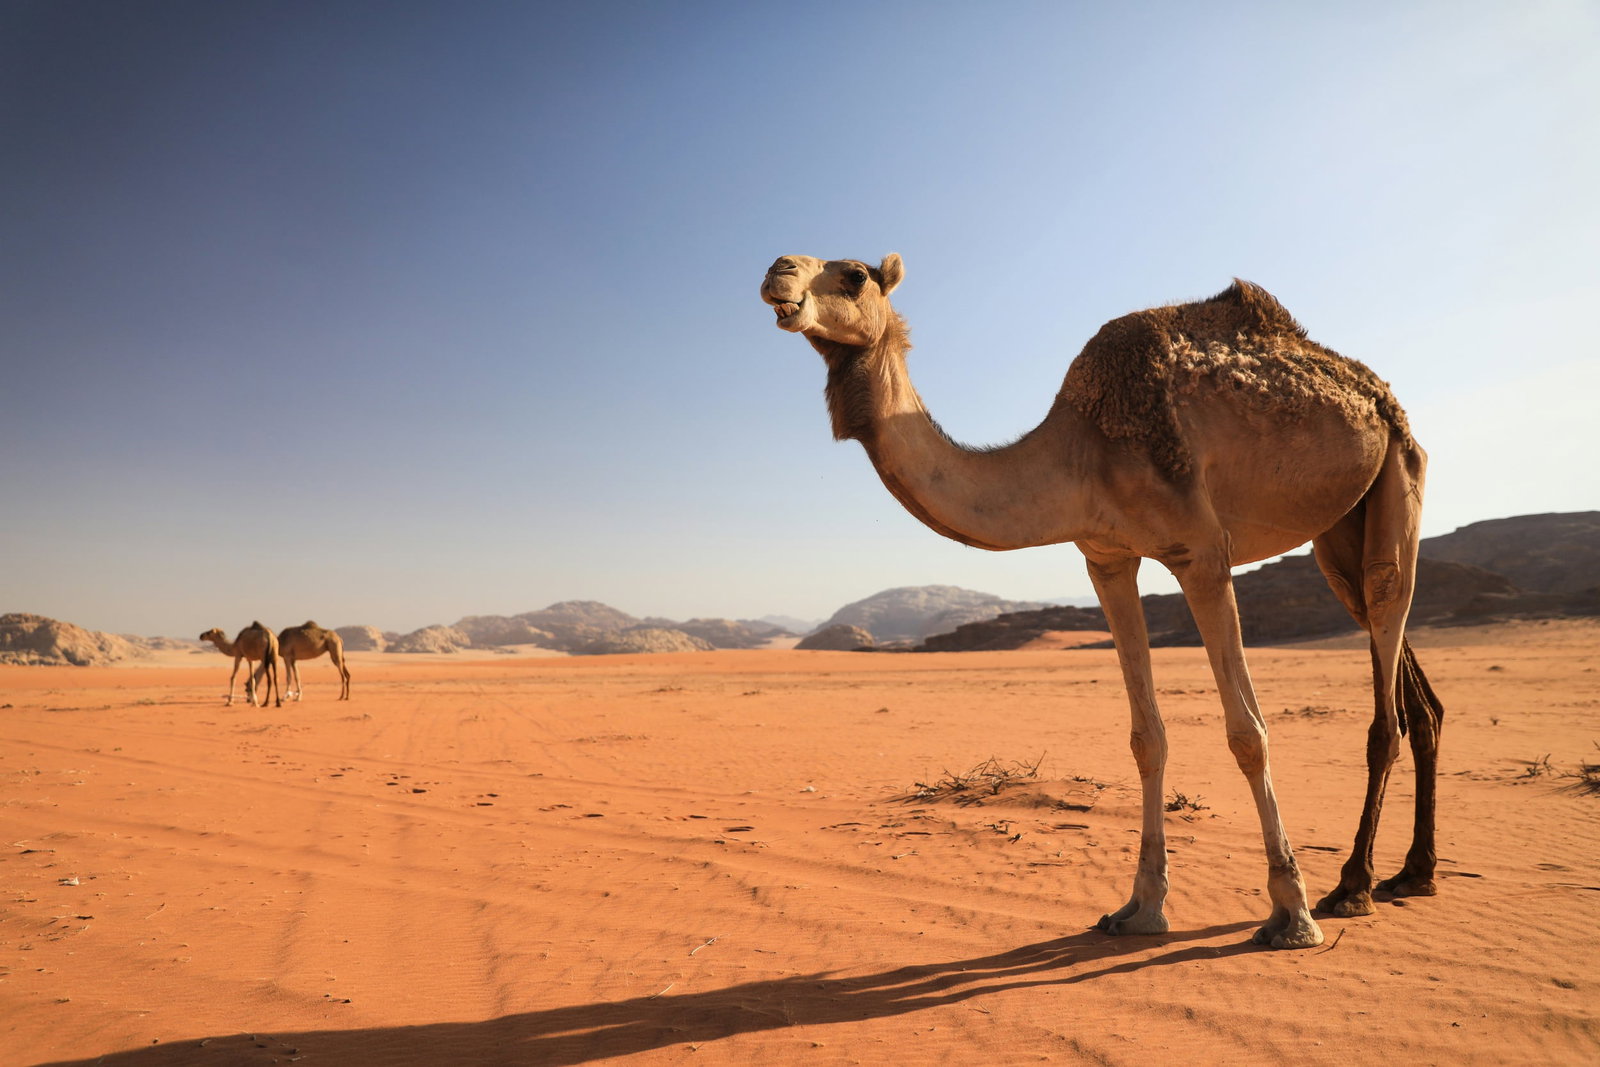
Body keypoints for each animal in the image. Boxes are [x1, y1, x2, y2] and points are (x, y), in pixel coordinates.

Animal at [761, 253, 1443, 949]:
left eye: (852, 275)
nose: (777, 273)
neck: (1081, 449)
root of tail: (1378, 393)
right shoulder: (1107, 558)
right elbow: (1147, 738)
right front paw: (1139, 909)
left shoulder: (1202, 550)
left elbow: (1248, 733)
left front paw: (1289, 913)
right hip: (1340, 531)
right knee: (1406, 677)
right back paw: (1412, 874)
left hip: (1400, 469)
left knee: (1387, 647)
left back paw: (1352, 886)